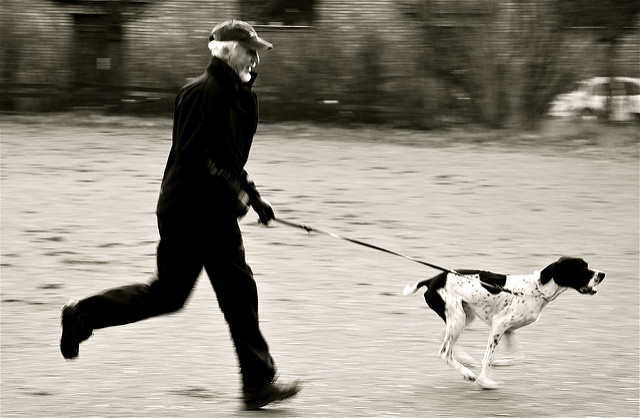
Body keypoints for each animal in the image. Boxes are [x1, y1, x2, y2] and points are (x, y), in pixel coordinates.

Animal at [404, 256, 604, 390]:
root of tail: (432, 280)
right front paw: (485, 382)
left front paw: (502, 362)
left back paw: (466, 360)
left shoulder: (508, 330)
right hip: (459, 319)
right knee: (444, 352)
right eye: (581, 268)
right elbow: (488, 358)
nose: (602, 274)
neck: (536, 290)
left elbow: (516, 357)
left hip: (463, 317)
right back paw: (468, 373)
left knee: (443, 339)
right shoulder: (499, 325)